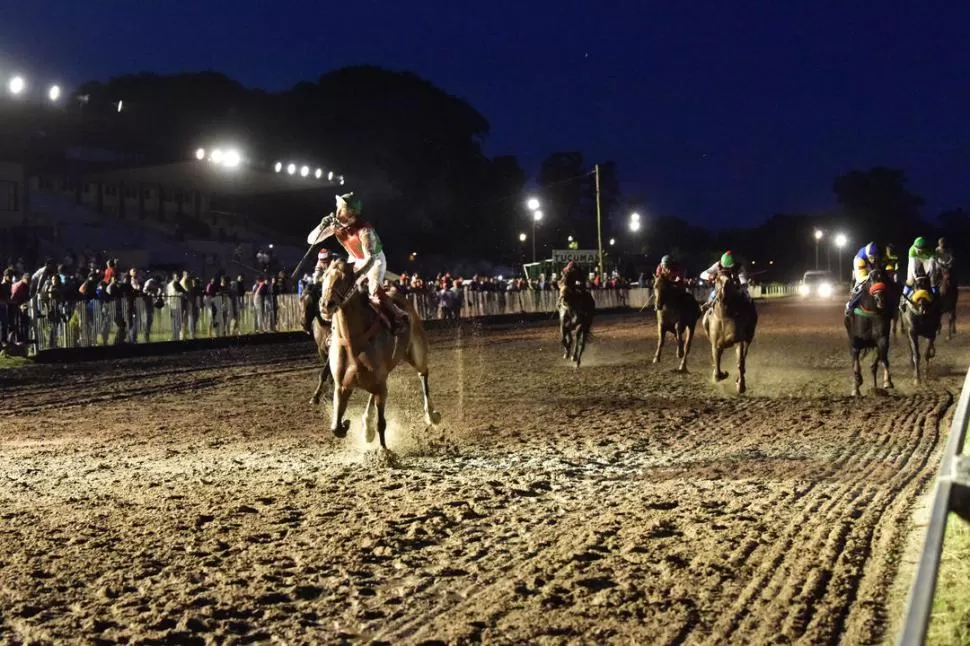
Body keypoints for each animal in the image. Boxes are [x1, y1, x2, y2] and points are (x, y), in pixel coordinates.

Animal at [320, 260, 440, 454]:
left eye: (345, 278)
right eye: (324, 276)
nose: (326, 304)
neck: (352, 339)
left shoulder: (380, 386)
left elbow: (381, 422)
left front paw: (384, 451)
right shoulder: (342, 386)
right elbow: (335, 427)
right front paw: (346, 425)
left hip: (417, 354)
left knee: (423, 374)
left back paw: (431, 415)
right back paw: (366, 427)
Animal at [844, 270, 896, 400]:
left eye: (883, 279)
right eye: (871, 280)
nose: (880, 299)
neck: (870, 313)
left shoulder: (882, 339)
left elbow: (884, 359)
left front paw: (887, 381)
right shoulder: (855, 341)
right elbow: (856, 365)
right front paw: (857, 384)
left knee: (874, 366)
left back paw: (875, 389)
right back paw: (856, 388)